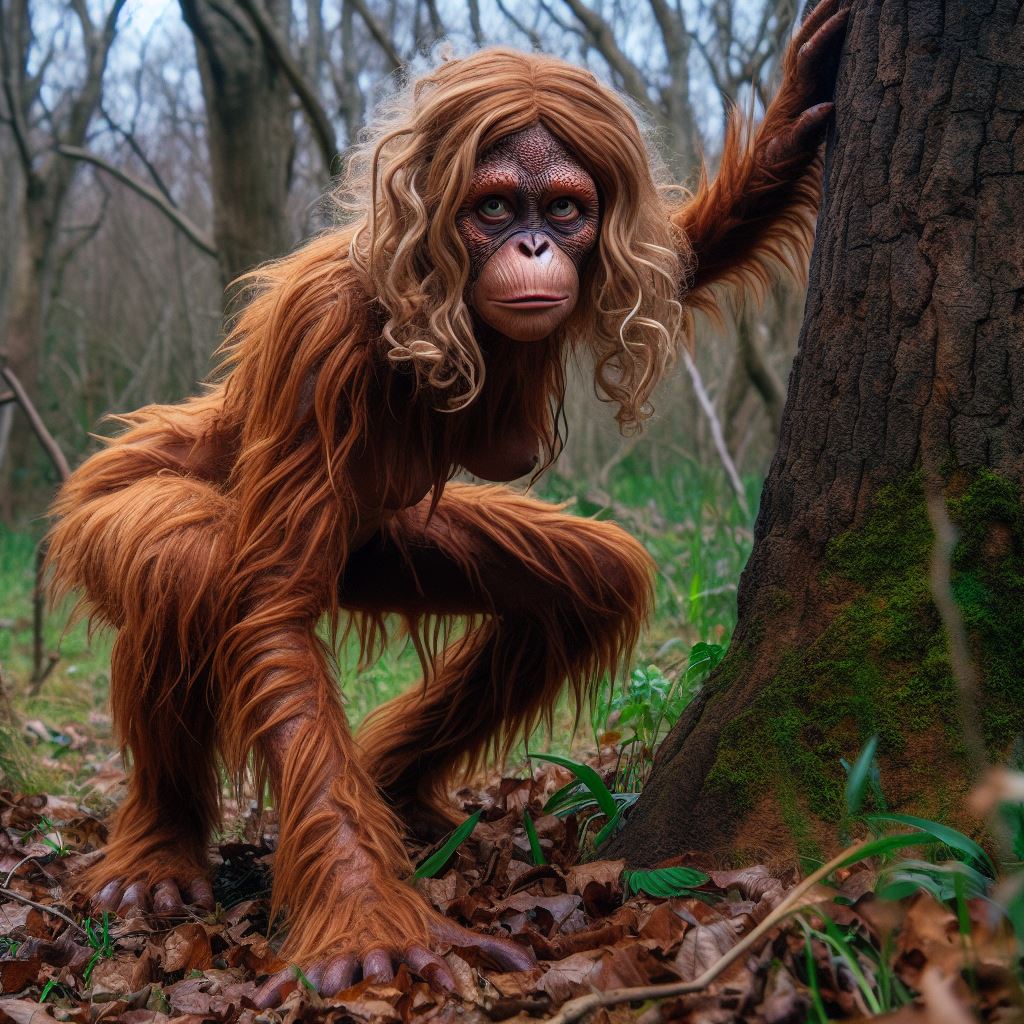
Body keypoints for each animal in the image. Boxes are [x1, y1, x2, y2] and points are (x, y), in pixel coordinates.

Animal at [45, 0, 847, 1004]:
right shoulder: (320, 342)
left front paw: (795, 112)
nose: (534, 247)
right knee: (185, 566)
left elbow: (678, 252)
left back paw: (387, 785)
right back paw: (158, 855)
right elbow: (268, 612)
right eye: (495, 206)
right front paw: (364, 918)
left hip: (387, 545)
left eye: (566, 209)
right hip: (105, 501)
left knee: (590, 582)